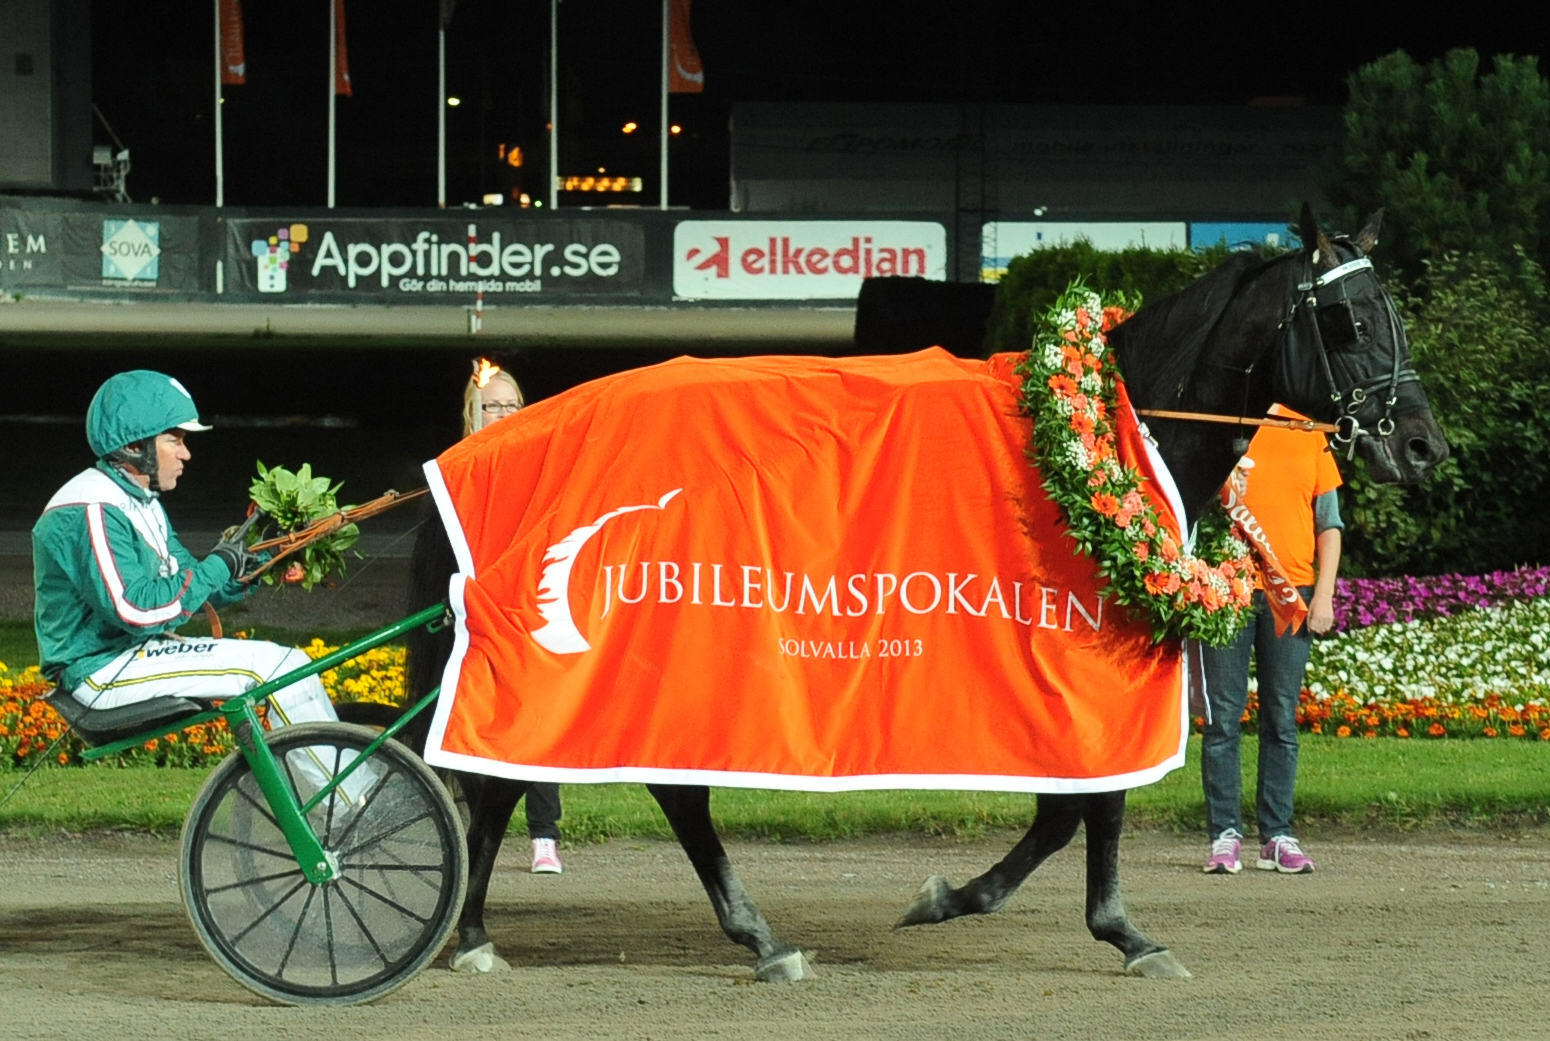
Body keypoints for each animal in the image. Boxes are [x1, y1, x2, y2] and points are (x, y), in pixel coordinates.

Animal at [381, 207, 1444, 979]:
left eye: (1394, 312)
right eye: (1348, 320)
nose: (1424, 444)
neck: (1112, 423)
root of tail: (487, 446)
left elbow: (1076, 809)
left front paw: (1067, 919)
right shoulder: (1081, 666)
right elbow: (1084, 808)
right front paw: (1072, 921)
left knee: (532, 778)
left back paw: (501, 929)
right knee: (601, 781)